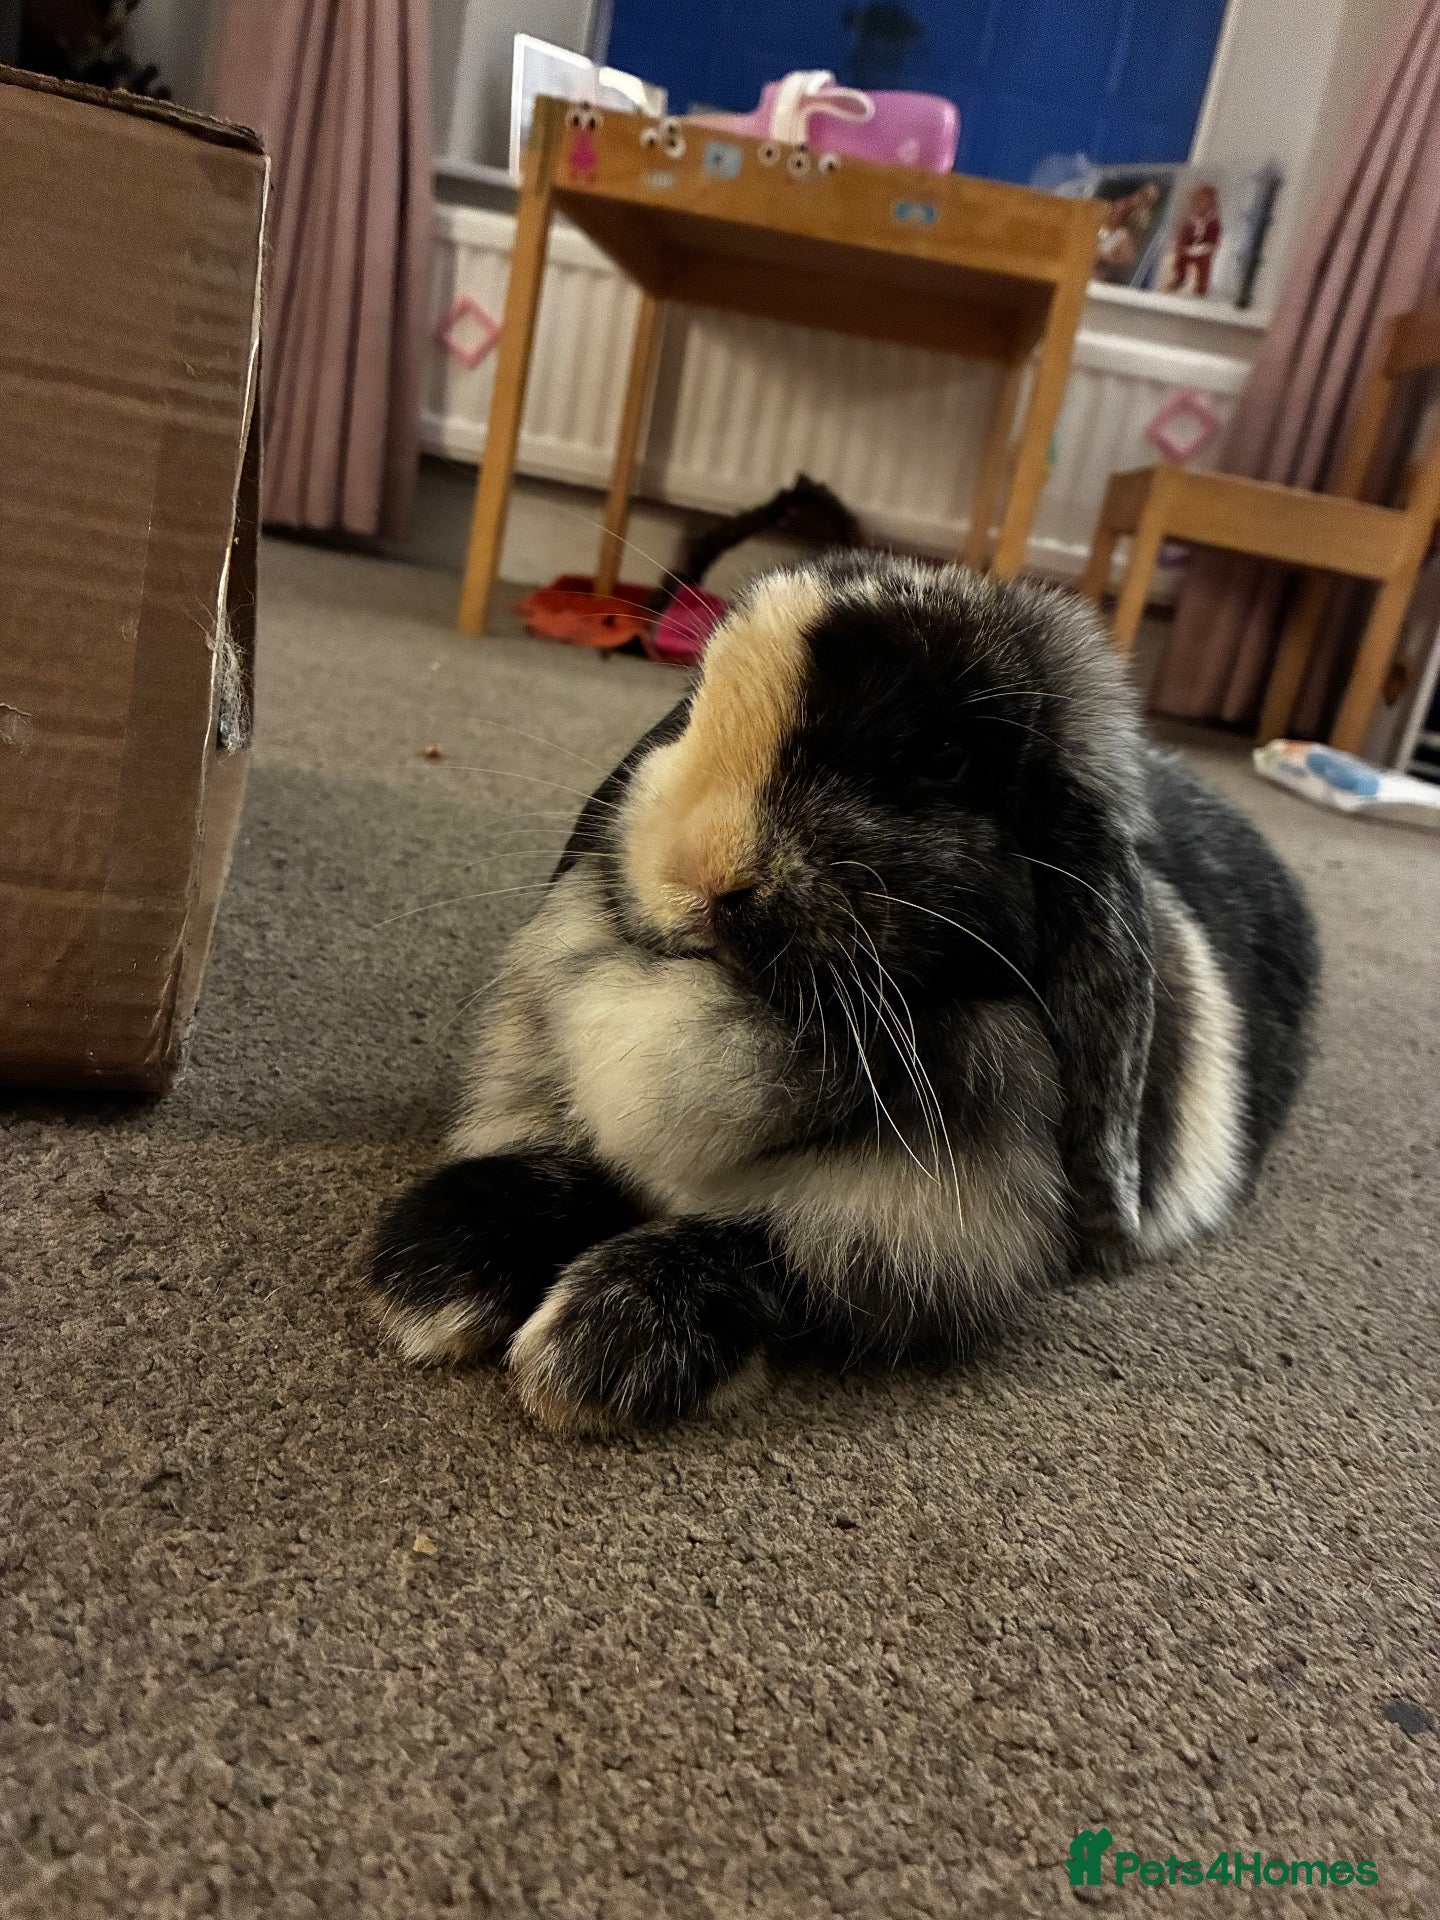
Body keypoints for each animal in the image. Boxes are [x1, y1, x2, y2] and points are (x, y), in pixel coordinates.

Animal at [368, 554, 1319, 1434]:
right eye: (697, 698)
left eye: (943, 759)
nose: (703, 872)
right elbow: (573, 1172)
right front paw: (428, 1272)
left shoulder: (901, 1240)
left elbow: (753, 1250)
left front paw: (583, 1359)